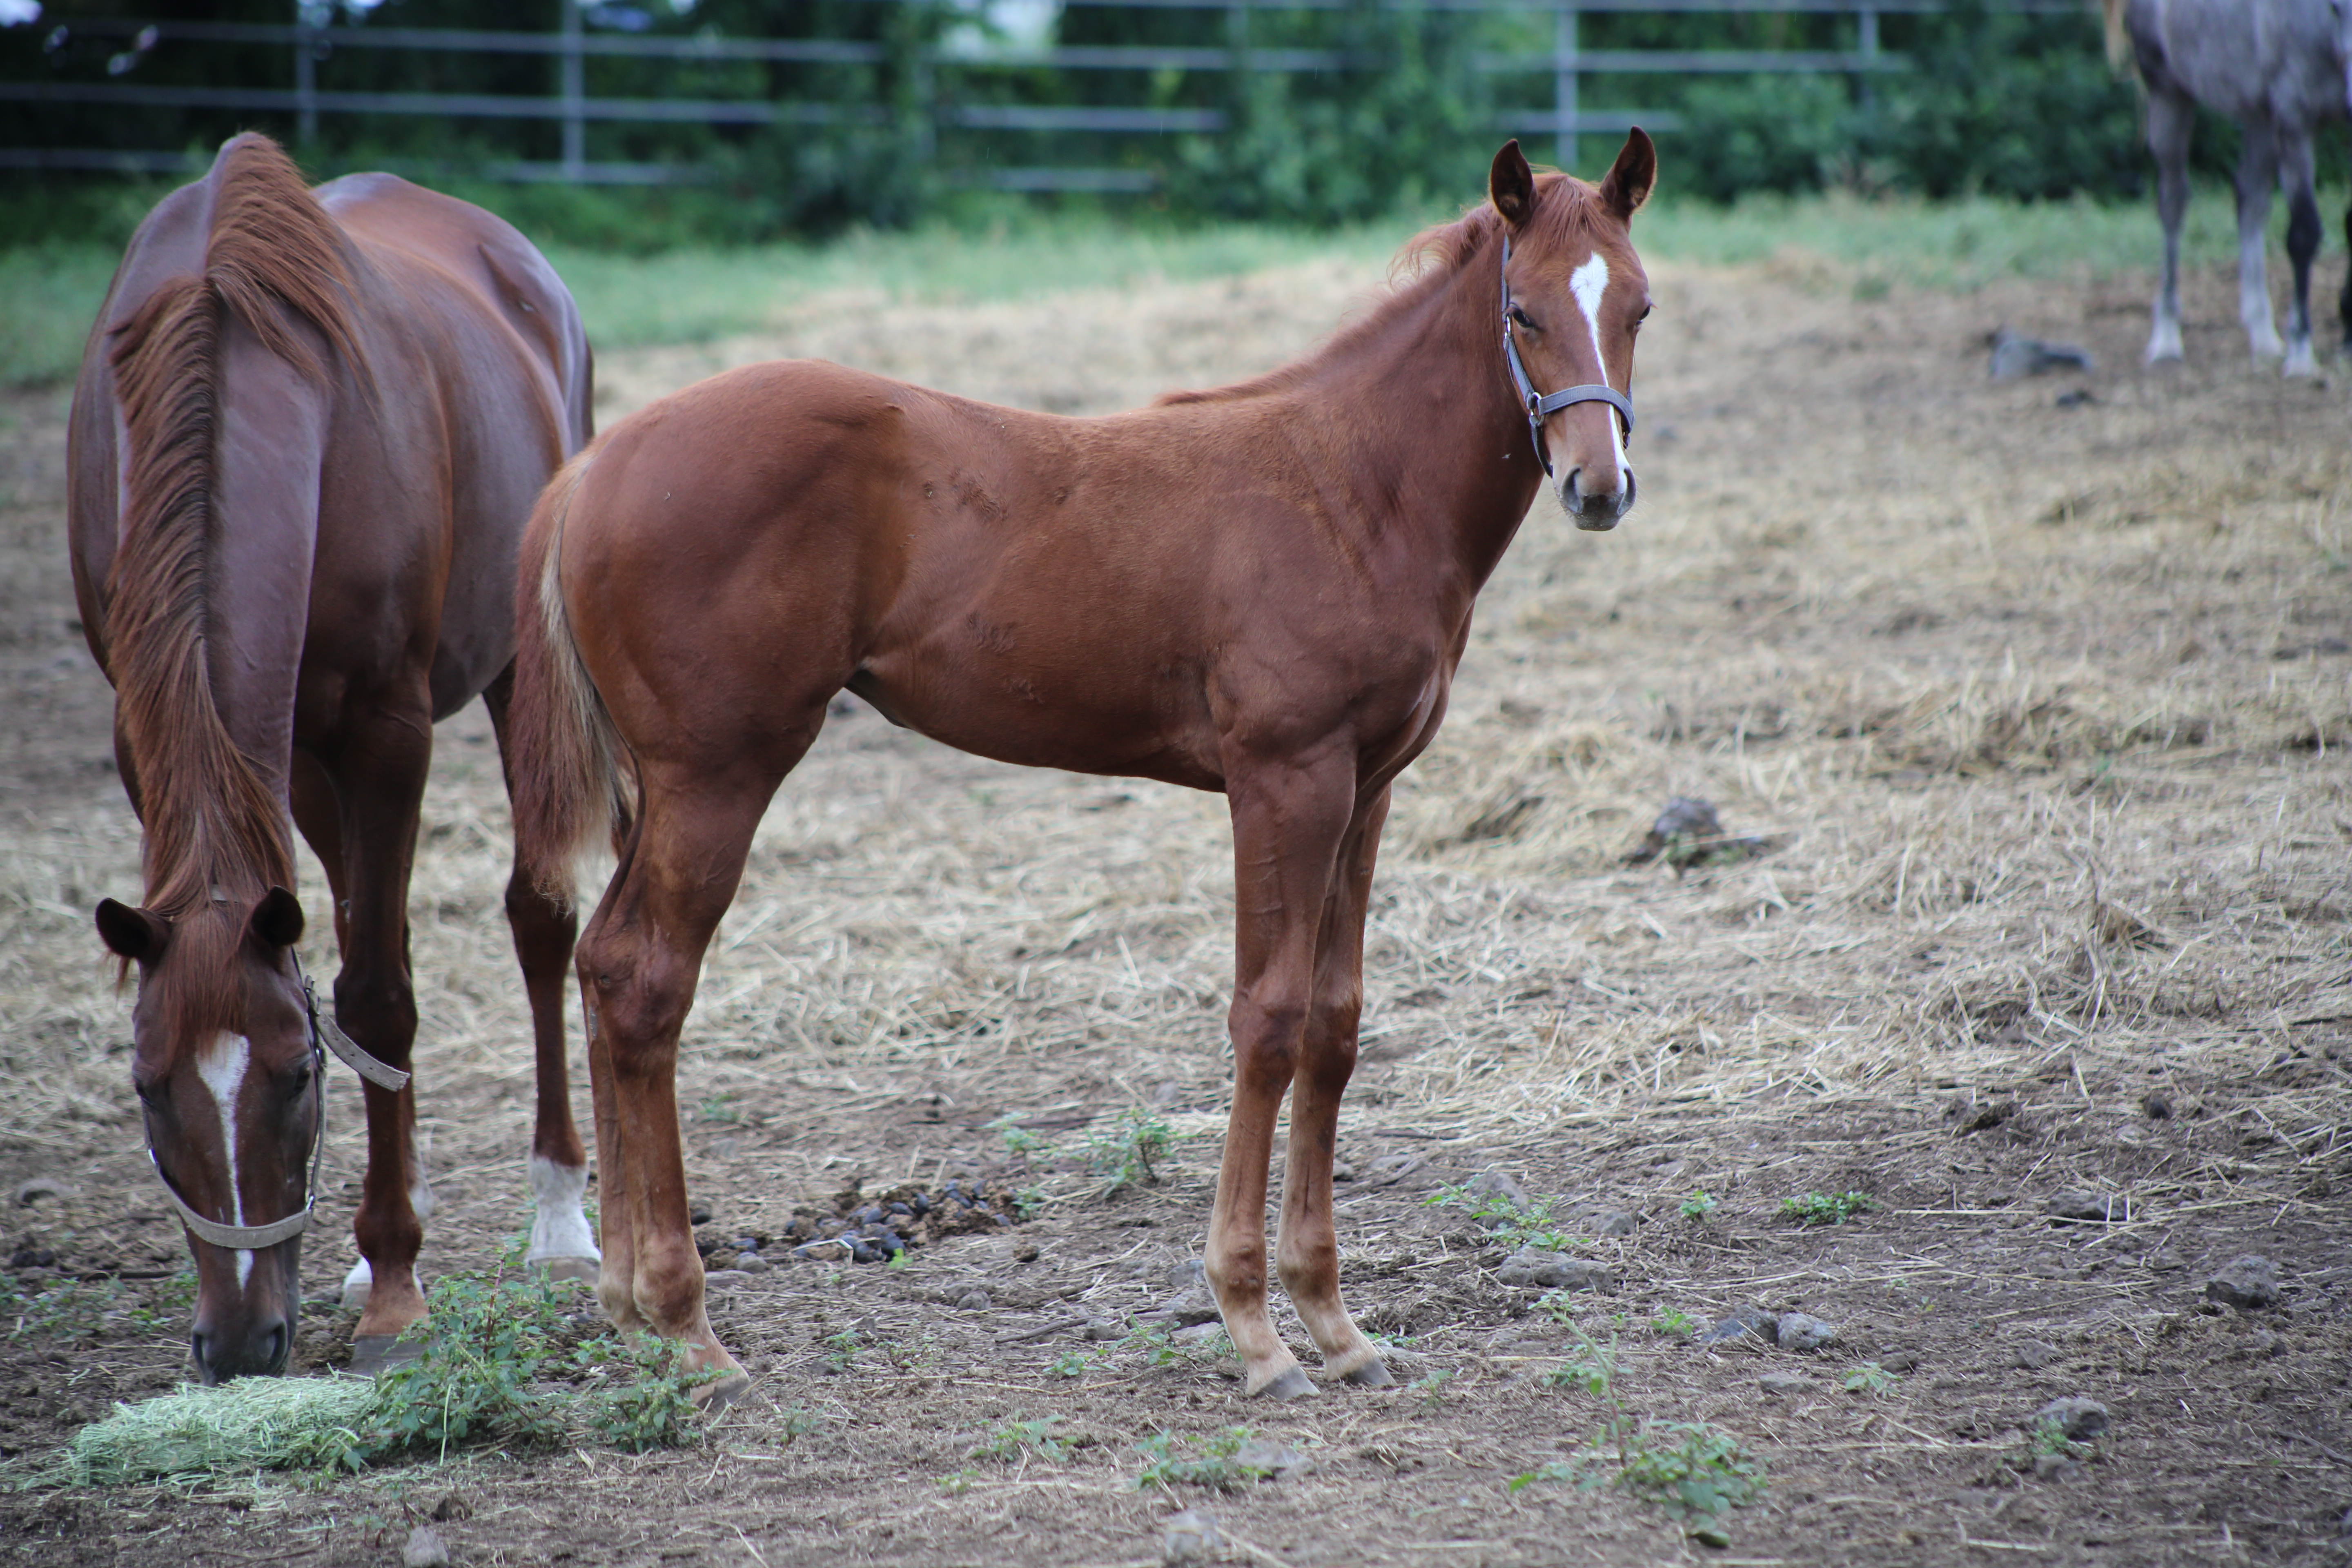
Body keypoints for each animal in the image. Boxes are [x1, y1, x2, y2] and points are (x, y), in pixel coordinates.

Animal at [74, 135, 607, 1382]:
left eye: (295, 1075)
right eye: (146, 1087)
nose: (238, 1343)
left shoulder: (384, 730)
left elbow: (375, 997)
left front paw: (398, 1288)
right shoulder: (151, 733)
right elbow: (354, 968)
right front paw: (375, 1256)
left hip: (515, 670)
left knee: (538, 915)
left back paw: (558, 1214)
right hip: (303, 764)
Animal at [515, 135, 1656, 1401]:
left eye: (1639, 307)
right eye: (1523, 311)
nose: (1597, 488)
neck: (1353, 485)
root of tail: (593, 467)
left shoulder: (1367, 789)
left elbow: (1335, 1026)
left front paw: (1335, 1321)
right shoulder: (1285, 778)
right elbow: (1268, 1020)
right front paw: (1255, 1328)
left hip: (658, 787)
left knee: (603, 965)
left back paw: (627, 1306)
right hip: (718, 775)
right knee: (647, 981)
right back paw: (686, 1325)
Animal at [2117, 0, 2352, 374]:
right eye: (2334, 7)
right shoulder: (2295, 121)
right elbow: (2304, 234)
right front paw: (2302, 352)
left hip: (2259, 117)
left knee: (2250, 201)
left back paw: (2264, 336)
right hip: (2169, 96)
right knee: (2173, 206)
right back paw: (2166, 339)